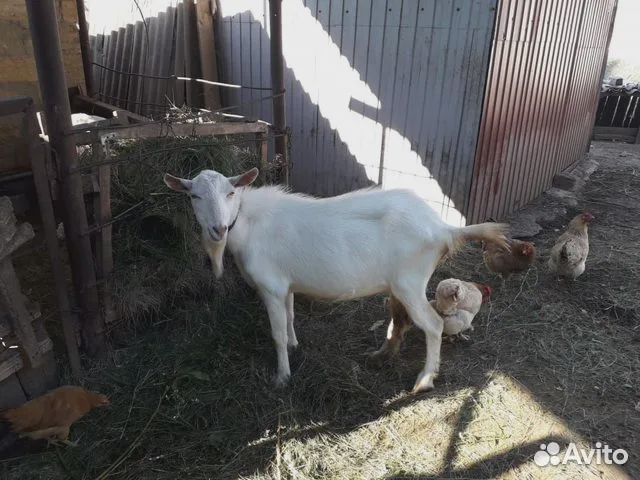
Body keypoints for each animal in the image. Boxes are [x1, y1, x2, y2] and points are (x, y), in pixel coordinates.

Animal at [164, 168, 508, 392]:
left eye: (231, 192)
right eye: (194, 195)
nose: (218, 228)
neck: (248, 224)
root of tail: (442, 229)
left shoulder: (270, 287)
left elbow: (276, 332)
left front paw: (282, 377)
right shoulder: (286, 285)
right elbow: (290, 315)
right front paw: (295, 345)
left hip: (410, 282)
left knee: (433, 325)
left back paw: (423, 380)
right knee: (402, 321)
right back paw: (382, 357)